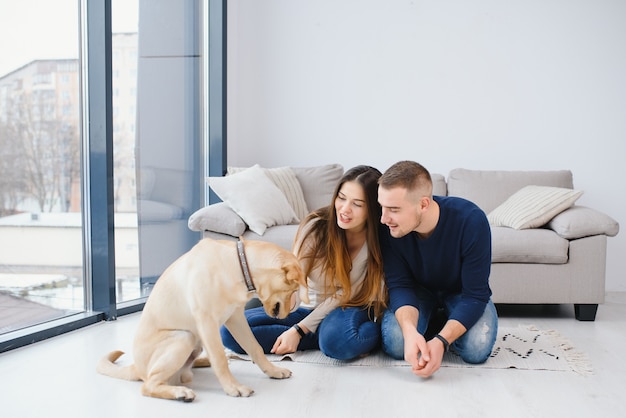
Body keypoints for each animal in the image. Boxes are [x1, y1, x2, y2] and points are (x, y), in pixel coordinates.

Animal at [94, 237, 304, 400]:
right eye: (293, 289)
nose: (290, 313)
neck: (237, 265)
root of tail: (136, 367)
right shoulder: (207, 320)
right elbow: (219, 357)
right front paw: (233, 387)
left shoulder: (236, 317)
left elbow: (255, 348)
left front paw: (273, 370)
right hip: (183, 337)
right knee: (149, 385)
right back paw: (180, 392)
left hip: (195, 341)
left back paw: (203, 361)